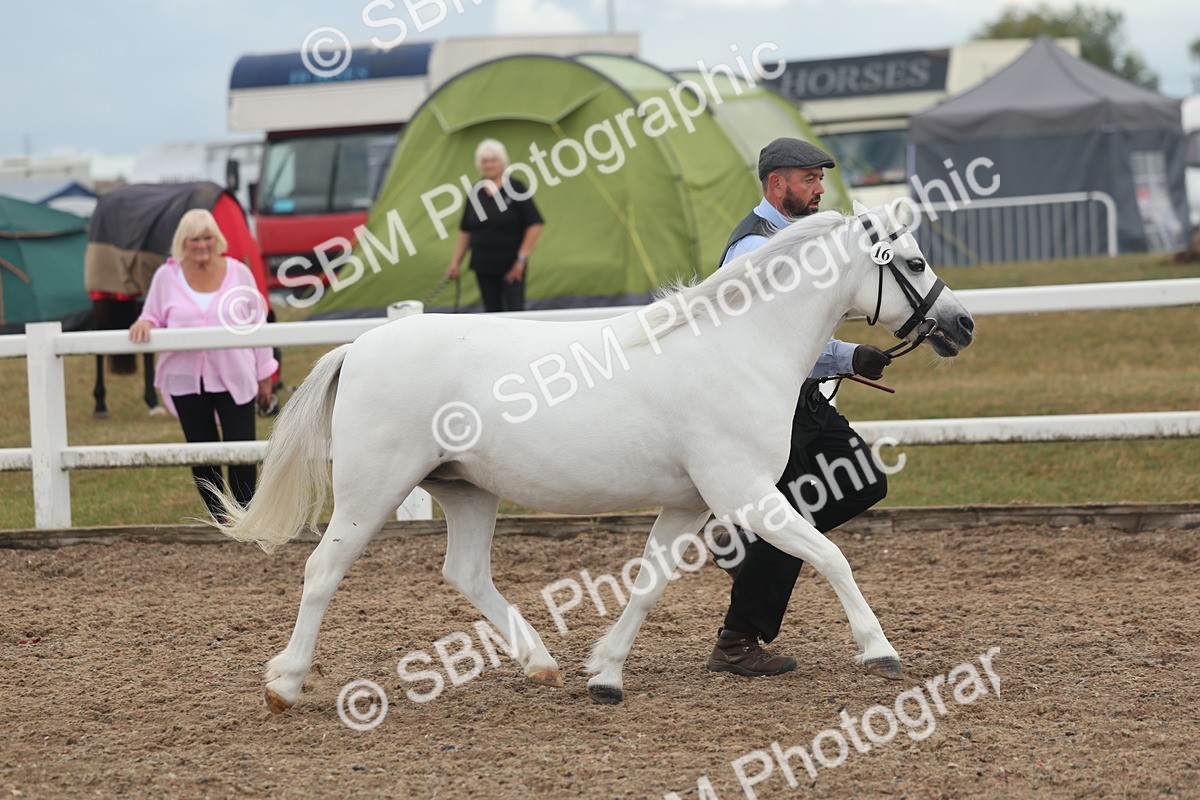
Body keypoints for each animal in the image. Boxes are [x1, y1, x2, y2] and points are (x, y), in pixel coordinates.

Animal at [213, 199, 975, 711]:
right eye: (913, 261)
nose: (962, 323)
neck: (740, 346)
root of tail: (360, 346)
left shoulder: (688, 503)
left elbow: (649, 584)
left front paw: (605, 674)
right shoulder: (745, 492)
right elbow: (829, 555)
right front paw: (879, 650)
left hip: (466, 489)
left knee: (465, 573)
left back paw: (541, 664)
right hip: (373, 489)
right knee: (323, 570)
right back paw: (285, 684)